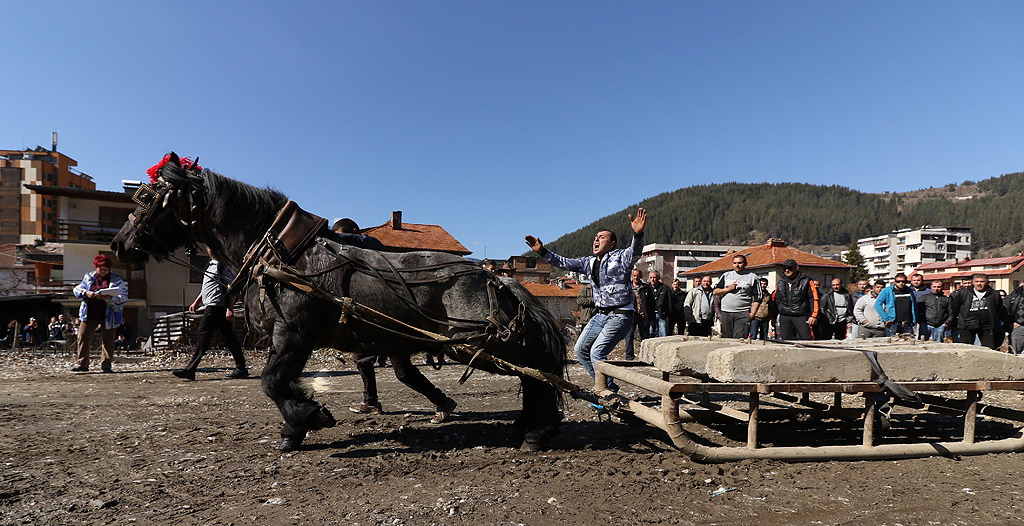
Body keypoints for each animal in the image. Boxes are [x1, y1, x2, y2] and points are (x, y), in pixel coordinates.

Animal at [112, 152, 565, 450]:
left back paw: (537, 430)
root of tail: (493, 277)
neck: (281, 253)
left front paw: (307, 419)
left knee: (536, 372)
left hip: (481, 344)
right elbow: (279, 381)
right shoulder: (287, 338)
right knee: (530, 374)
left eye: (148, 197)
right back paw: (525, 424)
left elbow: (271, 381)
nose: (119, 244)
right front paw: (297, 425)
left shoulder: (293, 333)